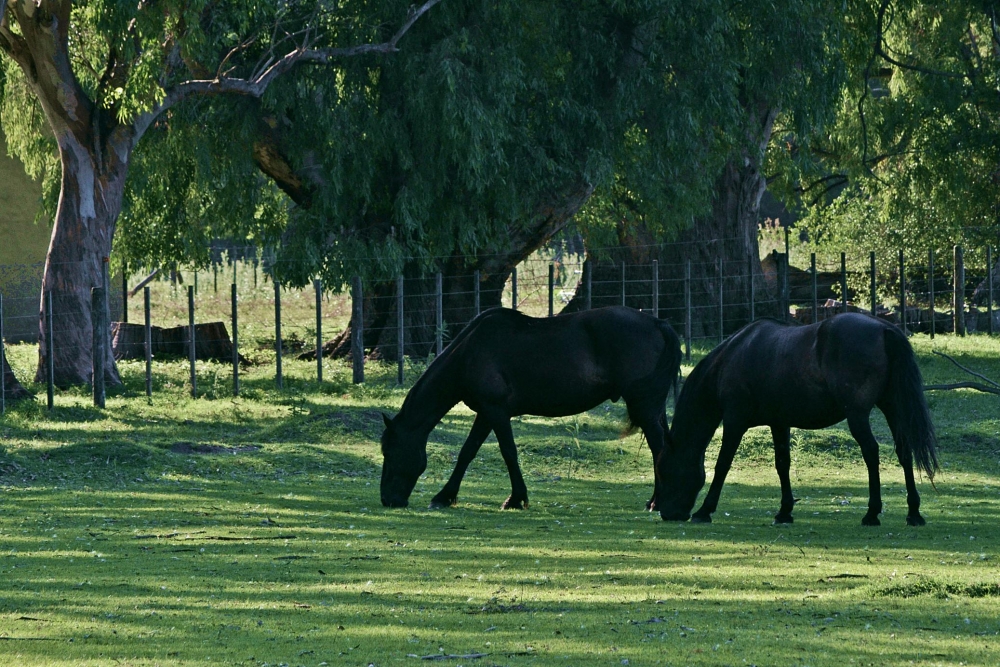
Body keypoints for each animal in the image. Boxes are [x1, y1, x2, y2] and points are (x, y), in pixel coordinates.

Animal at [378, 308, 684, 512]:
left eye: (389, 452)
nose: (388, 500)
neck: (469, 352)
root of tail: (657, 322)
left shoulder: (496, 411)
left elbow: (508, 453)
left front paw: (515, 499)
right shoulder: (486, 414)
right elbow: (467, 452)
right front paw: (445, 496)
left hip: (644, 409)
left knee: (659, 449)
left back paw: (657, 502)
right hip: (653, 410)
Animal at [656, 314, 936, 528]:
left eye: (665, 468)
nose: (666, 512)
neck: (731, 359)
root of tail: (884, 330)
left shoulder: (734, 421)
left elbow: (722, 464)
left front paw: (704, 510)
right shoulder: (779, 423)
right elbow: (783, 464)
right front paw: (784, 512)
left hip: (858, 415)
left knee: (871, 452)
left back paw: (872, 513)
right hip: (893, 408)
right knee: (904, 452)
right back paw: (913, 513)